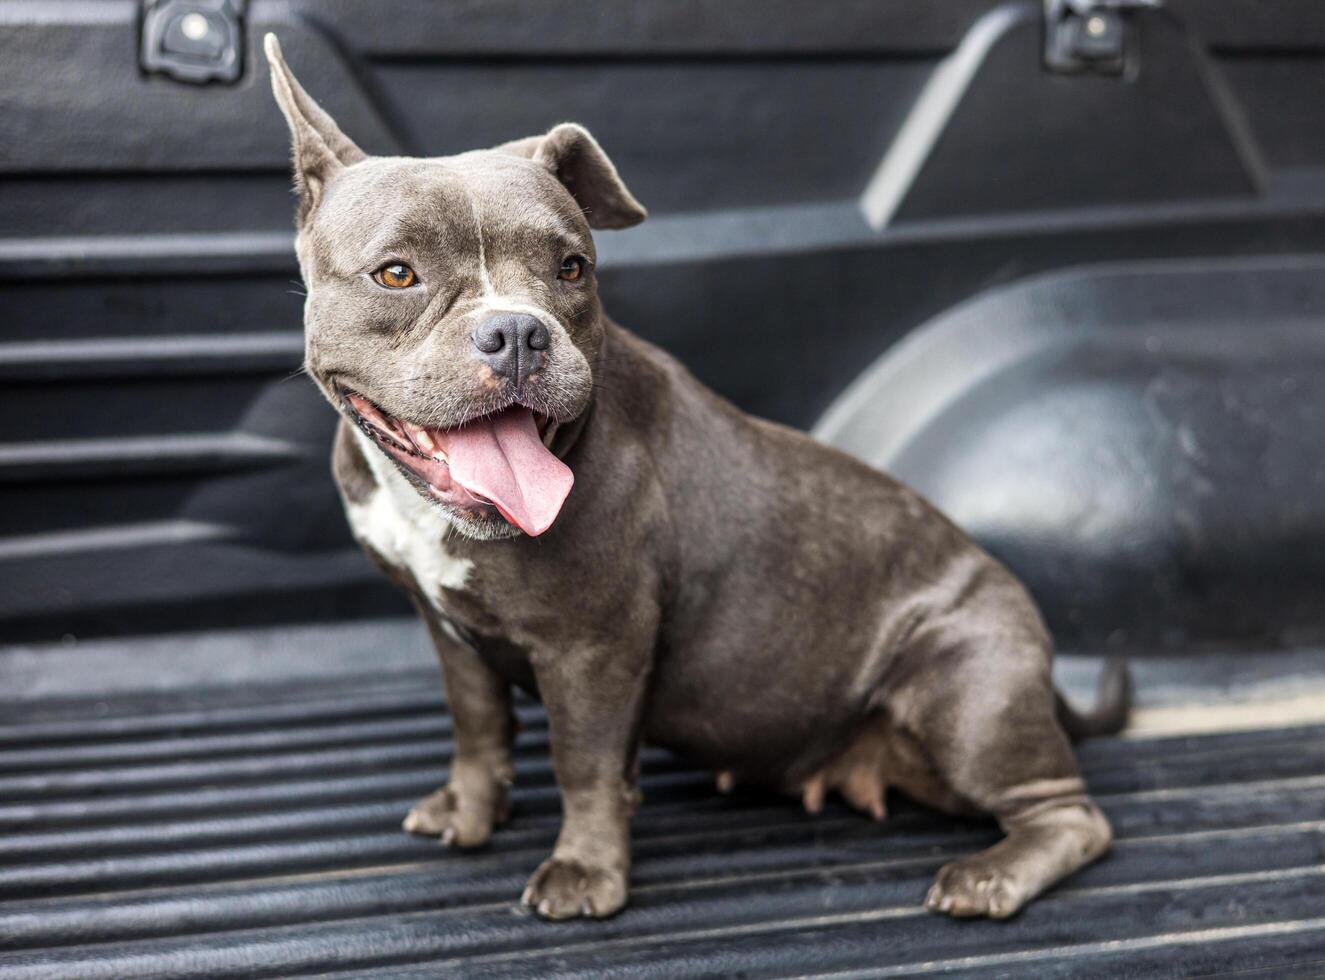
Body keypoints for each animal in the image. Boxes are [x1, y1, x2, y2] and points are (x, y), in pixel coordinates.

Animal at [266, 34, 1128, 921]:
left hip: (966, 695)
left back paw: (991, 873)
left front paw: (586, 871)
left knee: (1070, 813)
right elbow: (477, 729)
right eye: (396, 274)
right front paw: (469, 812)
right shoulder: (447, 628)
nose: (516, 333)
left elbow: (585, 763)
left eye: (571, 268)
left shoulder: (594, 647)